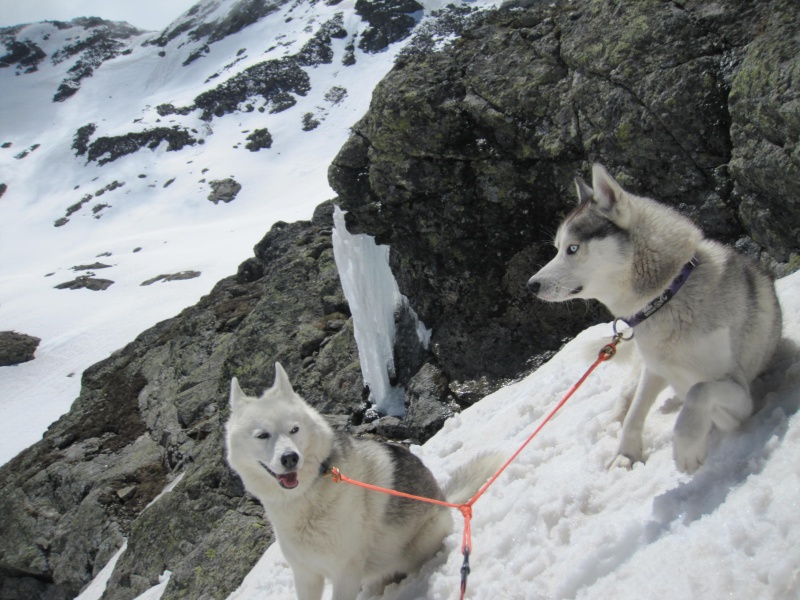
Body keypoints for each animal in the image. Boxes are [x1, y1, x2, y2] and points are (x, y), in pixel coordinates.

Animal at [225, 364, 500, 596]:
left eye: (294, 430)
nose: (290, 458)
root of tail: (443, 500)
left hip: (414, 548)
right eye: (262, 435)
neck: (306, 496)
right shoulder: (305, 576)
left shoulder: (344, 571)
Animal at [524, 164, 780, 474]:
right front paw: (625, 454)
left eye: (572, 248)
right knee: (626, 397)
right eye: (557, 247)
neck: (667, 297)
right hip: (640, 369)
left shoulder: (739, 391)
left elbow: (700, 391)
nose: (531, 285)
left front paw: (687, 447)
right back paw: (613, 422)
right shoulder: (654, 369)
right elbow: (636, 412)